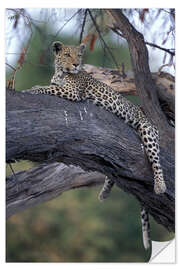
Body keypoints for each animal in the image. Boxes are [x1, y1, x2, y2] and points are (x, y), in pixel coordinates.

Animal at [22, 41, 167, 250]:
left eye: (79, 56)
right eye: (67, 55)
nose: (76, 65)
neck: (60, 72)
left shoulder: (72, 92)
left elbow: (47, 89)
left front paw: (31, 89)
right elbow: (50, 86)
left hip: (147, 131)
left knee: (156, 161)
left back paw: (160, 185)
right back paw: (104, 193)